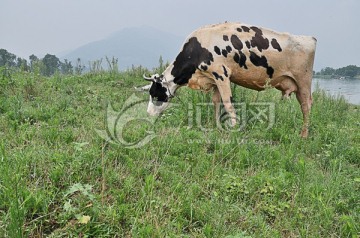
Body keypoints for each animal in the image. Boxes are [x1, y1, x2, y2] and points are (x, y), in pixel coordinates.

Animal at [142, 22, 316, 138]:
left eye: (156, 94)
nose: (148, 114)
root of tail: (309, 38)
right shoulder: (214, 78)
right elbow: (215, 101)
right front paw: (217, 126)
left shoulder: (222, 74)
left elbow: (228, 103)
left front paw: (233, 129)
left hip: (304, 81)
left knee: (306, 105)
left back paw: (304, 135)